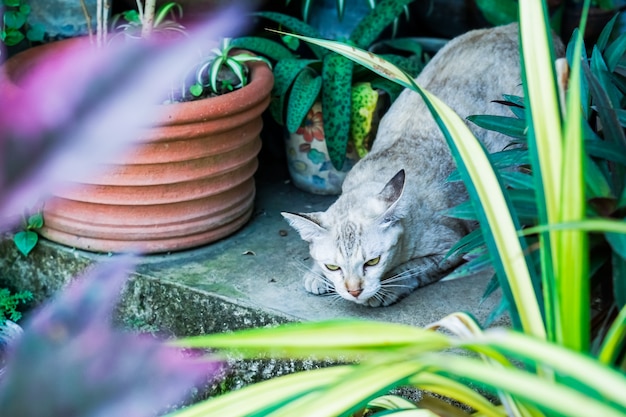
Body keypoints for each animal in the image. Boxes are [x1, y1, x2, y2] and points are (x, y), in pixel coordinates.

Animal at [282, 24, 560, 308]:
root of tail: (513, 26)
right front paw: (316, 275)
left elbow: (410, 270)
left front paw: (386, 291)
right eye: (333, 267)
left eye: (372, 262)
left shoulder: (451, 248)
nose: (353, 291)